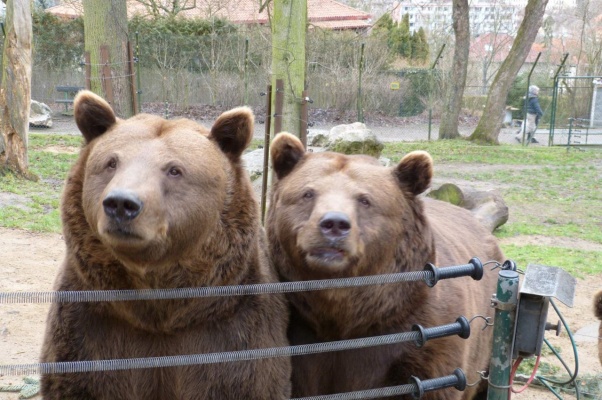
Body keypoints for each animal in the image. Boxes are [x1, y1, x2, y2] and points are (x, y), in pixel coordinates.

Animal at [39, 91, 290, 400]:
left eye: (174, 170)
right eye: (111, 162)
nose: (121, 203)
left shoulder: (232, 327)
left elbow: (247, 380)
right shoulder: (91, 325)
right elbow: (81, 381)